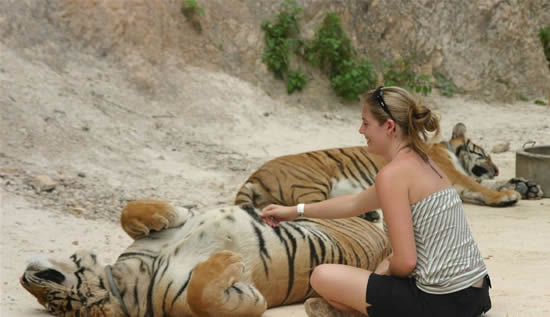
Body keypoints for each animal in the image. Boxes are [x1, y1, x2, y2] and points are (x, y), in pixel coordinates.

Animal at [236, 122, 544, 216]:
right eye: (484, 154)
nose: (496, 169)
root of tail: (254, 175)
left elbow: (481, 186)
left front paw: (522, 186)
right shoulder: (451, 175)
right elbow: (479, 186)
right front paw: (507, 195)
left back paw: (369, 213)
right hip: (311, 182)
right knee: (308, 213)